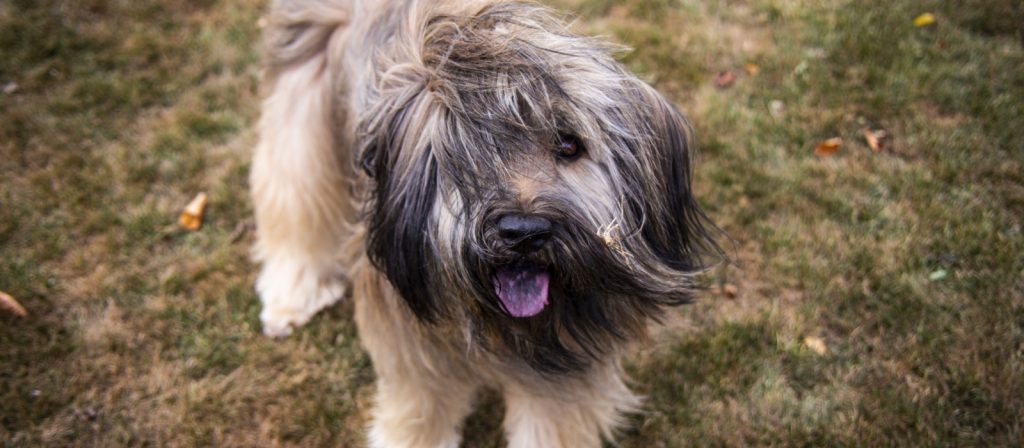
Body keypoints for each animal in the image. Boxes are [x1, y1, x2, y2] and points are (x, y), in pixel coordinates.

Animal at [247, 0, 720, 443]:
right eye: (471, 152)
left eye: (569, 145)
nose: (523, 234)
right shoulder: (412, 345)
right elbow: (419, 410)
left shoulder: (568, 363)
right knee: (293, 187)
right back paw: (293, 290)